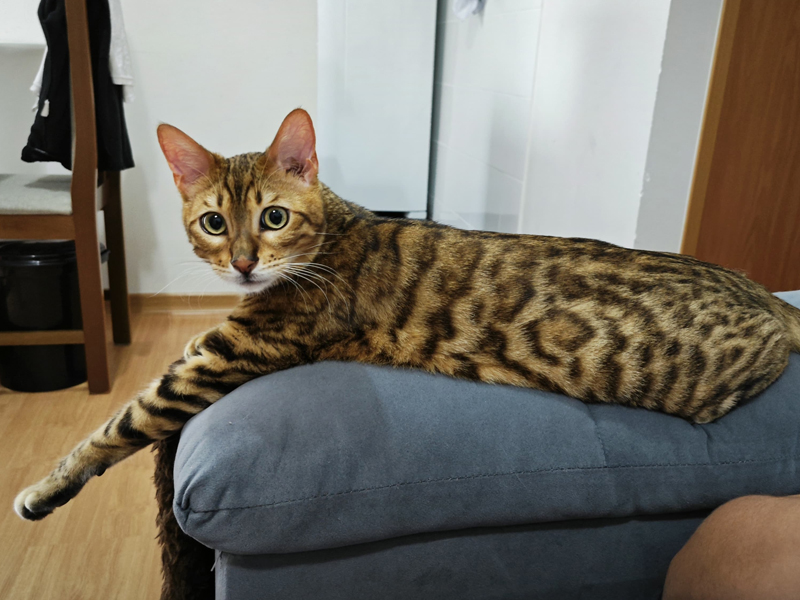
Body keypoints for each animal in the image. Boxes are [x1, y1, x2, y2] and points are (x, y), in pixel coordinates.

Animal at [14, 108, 800, 521]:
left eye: (273, 217)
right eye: (212, 222)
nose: (241, 264)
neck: (333, 228)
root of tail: (764, 294)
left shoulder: (226, 354)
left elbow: (118, 424)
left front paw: (44, 489)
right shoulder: (216, 343)